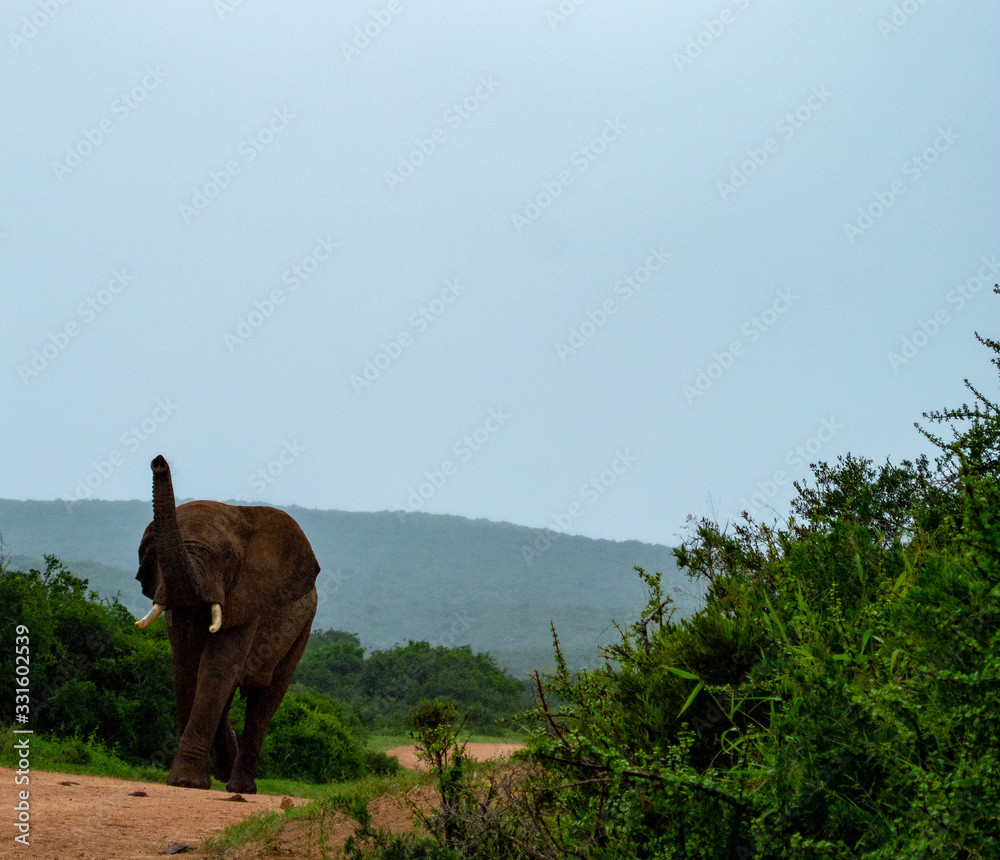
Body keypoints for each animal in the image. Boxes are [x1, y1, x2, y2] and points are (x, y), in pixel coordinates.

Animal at [134, 454, 320, 793]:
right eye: (155, 556)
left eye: (229, 557)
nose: (159, 462)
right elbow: (187, 666)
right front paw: (190, 781)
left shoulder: (249, 596)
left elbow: (217, 665)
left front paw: (186, 782)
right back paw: (226, 772)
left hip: (304, 626)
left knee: (265, 701)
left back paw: (240, 787)